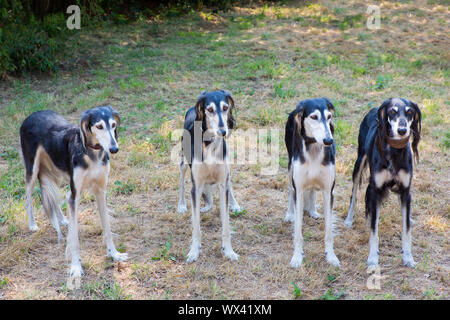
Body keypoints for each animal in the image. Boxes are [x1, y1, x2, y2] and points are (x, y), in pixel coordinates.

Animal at [19, 106, 128, 284]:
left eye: (113, 125)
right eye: (99, 126)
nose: (114, 149)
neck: (91, 154)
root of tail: (32, 114)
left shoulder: (101, 191)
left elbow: (107, 228)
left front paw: (114, 254)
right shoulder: (75, 195)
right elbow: (75, 239)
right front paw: (76, 268)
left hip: (55, 170)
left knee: (54, 197)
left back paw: (63, 219)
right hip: (32, 168)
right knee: (28, 197)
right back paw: (32, 224)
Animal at [284, 97, 338, 268]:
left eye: (329, 117)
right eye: (314, 117)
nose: (328, 141)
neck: (314, 148)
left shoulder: (329, 191)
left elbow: (329, 232)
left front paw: (331, 256)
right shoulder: (299, 189)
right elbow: (298, 231)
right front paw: (297, 257)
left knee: (313, 189)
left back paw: (313, 210)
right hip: (290, 168)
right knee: (290, 190)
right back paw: (289, 214)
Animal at [344, 97, 422, 268]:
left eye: (410, 112)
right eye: (392, 111)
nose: (402, 130)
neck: (394, 151)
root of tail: (374, 108)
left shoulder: (406, 191)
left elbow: (406, 229)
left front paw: (408, 257)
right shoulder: (376, 189)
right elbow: (374, 230)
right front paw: (373, 258)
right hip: (359, 162)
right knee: (354, 195)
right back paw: (349, 219)